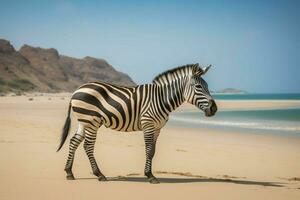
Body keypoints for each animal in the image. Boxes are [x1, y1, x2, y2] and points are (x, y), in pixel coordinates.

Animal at [56, 63, 216, 184]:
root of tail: (77, 90)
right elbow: (149, 150)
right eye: (198, 87)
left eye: (207, 86)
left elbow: (153, 151)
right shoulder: (148, 123)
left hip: (84, 121)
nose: (214, 108)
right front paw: (150, 176)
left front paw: (150, 174)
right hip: (91, 120)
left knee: (73, 142)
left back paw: (69, 173)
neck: (161, 98)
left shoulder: (157, 128)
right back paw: (99, 174)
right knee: (88, 146)